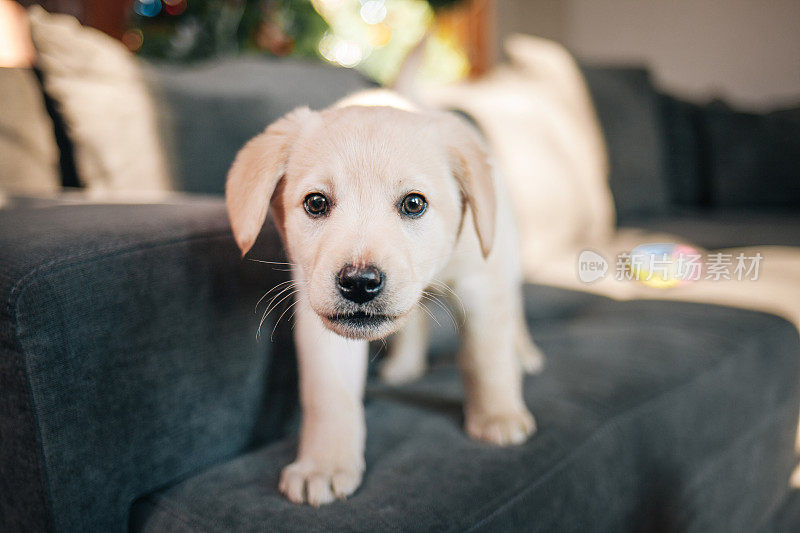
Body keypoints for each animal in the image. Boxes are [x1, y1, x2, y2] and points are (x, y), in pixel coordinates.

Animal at [228, 93, 548, 504]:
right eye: (315, 203)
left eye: (413, 204)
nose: (359, 283)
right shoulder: (322, 322)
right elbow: (328, 394)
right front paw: (324, 464)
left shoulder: (480, 284)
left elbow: (485, 356)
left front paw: (497, 416)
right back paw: (405, 366)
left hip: (505, 249)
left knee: (513, 309)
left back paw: (523, 354)